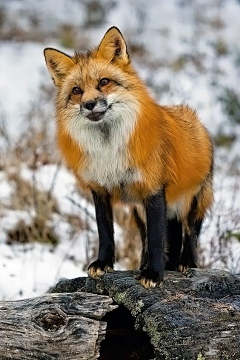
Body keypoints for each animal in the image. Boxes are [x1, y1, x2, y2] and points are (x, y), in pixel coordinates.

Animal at [44, 26, 213, 288]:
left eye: (104, 82)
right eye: (76, 91)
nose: (89, 104)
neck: (108, 149)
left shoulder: (153, 190)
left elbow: (157, 239)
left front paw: (153, 274)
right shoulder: (100, 190)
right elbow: (106, 233)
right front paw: (104, 264)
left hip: (193, 202)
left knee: (190, 233)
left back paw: (186, 263)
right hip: (139, 211)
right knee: (154, 238)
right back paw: (151, 265)